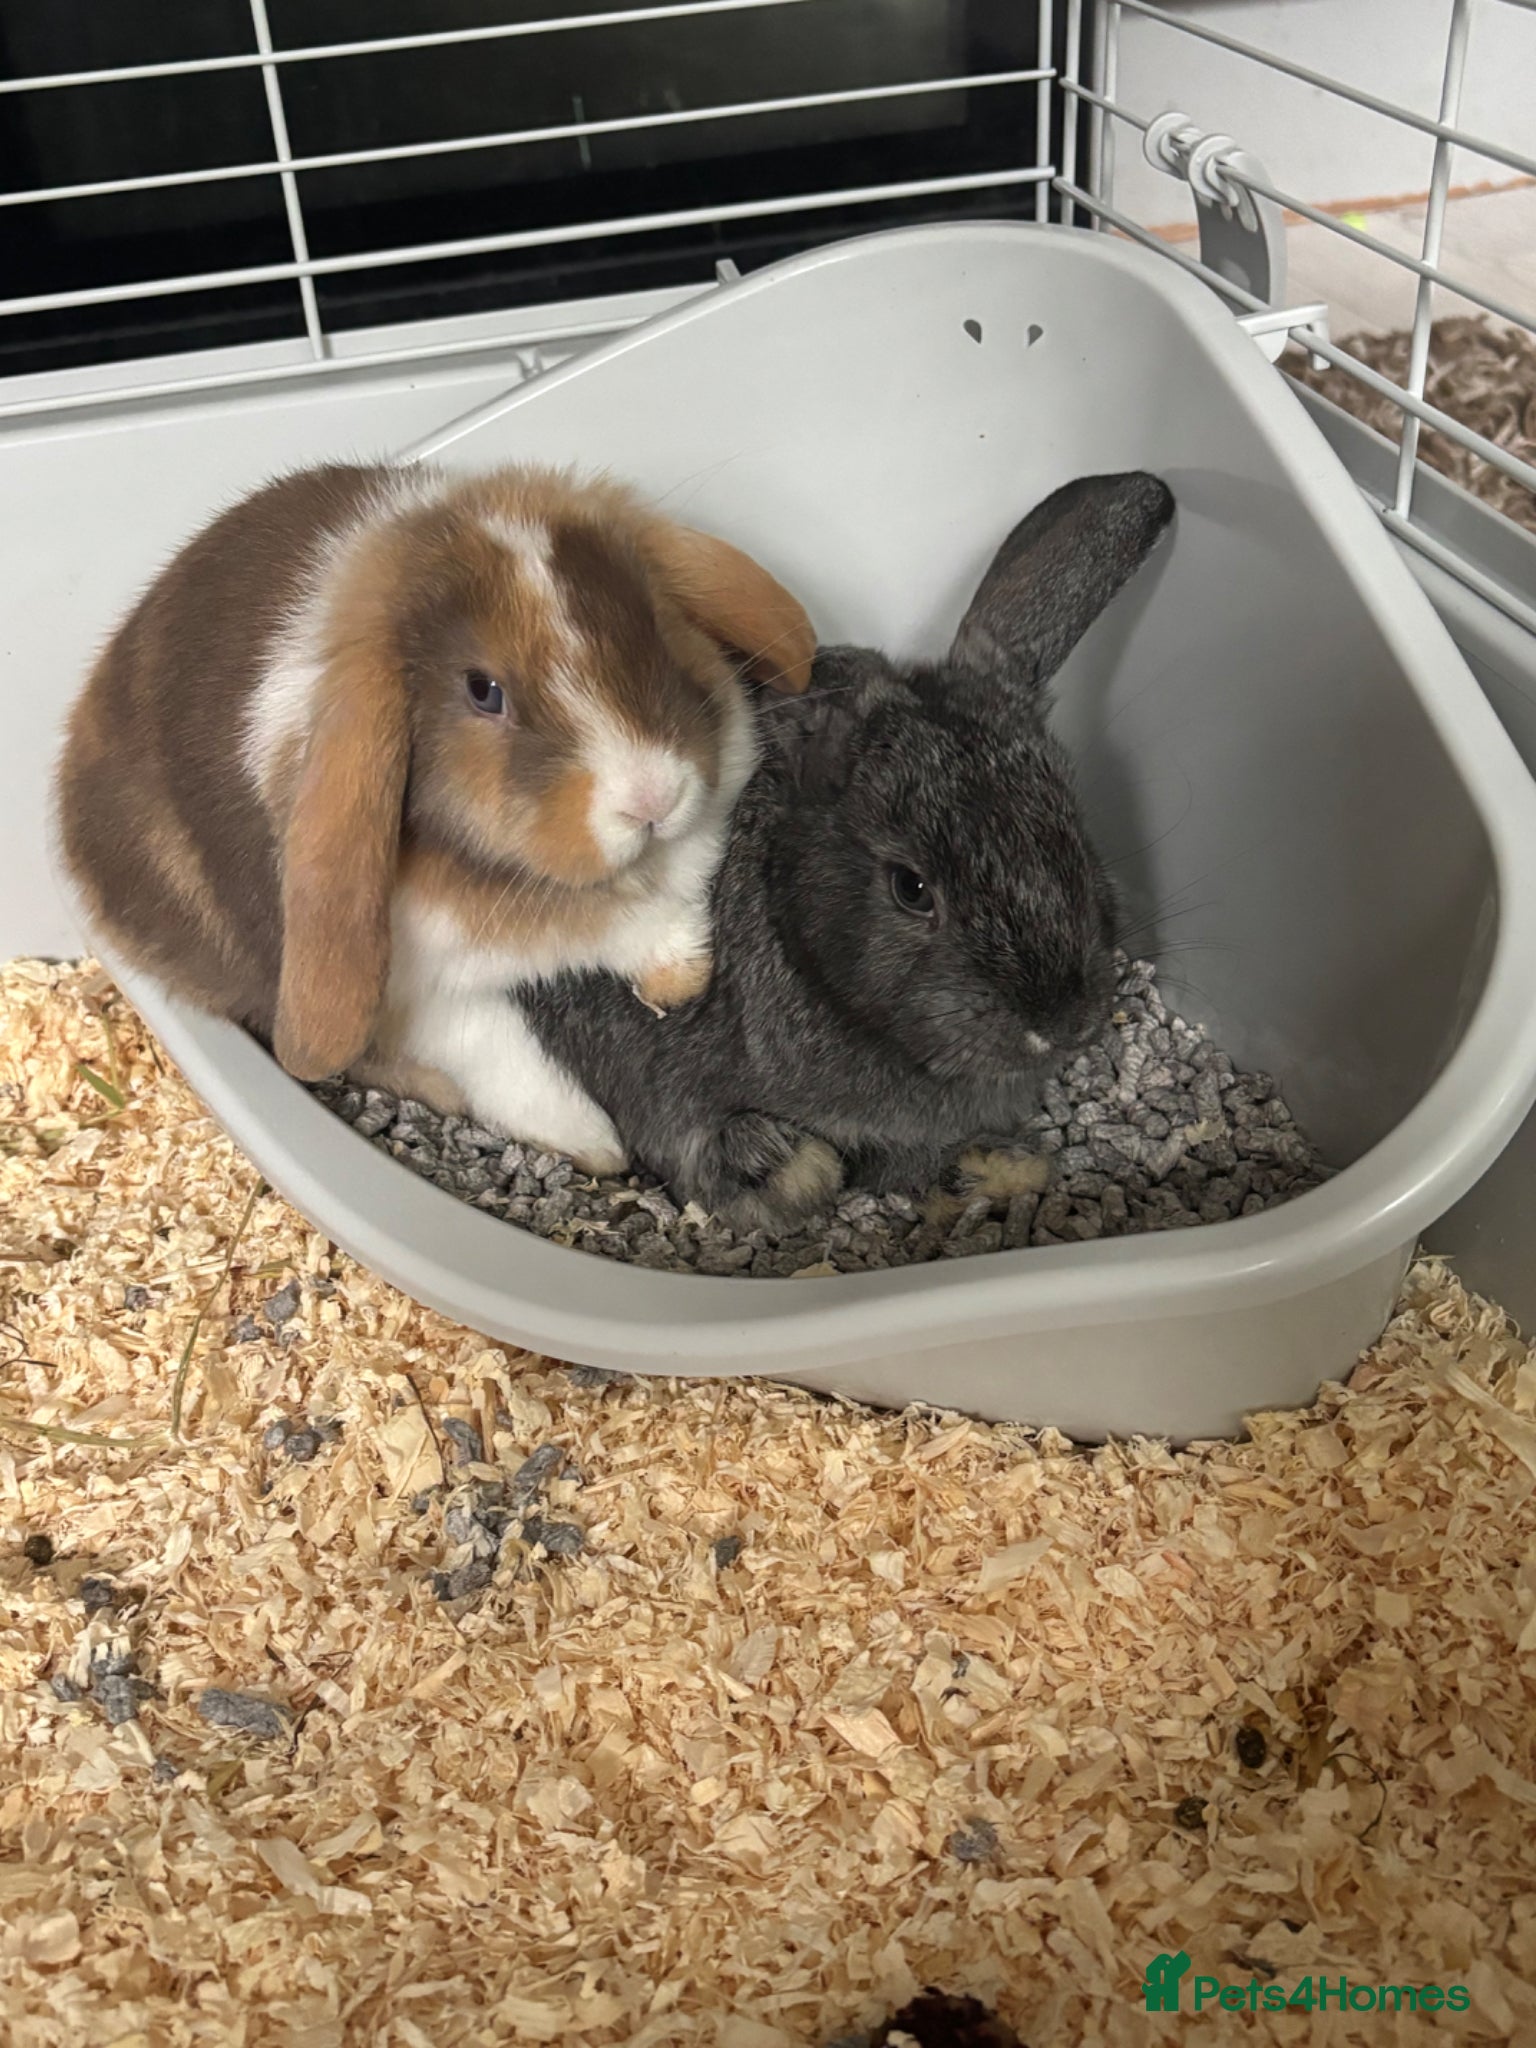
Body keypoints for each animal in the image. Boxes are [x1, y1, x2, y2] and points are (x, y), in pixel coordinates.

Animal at [56, 461, 816, 1172]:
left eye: (652, 624)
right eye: (483, 691)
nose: (653, 797)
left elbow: (667, 920)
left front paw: (677, 982)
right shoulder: (428, 1002)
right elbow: (505, 1059)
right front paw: (596, 1146)